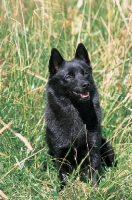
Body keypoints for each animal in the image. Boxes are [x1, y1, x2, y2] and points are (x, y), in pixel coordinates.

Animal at [44, 43, 115, 188]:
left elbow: (94, 172)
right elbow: (63, 176)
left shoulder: (92, 149)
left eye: (85, 73)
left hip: (107, 147)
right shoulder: (60, 153)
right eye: (69, 76)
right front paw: (63, 190)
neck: (76, 113)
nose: (85, 84)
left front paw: (94, 189)